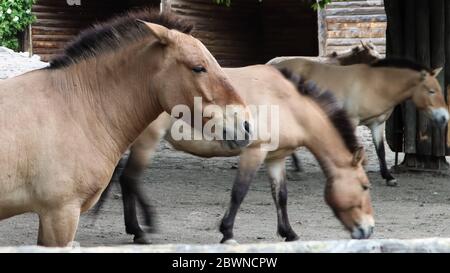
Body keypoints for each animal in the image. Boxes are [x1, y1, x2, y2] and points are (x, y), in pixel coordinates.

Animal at [96, 65, 374, 243]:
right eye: (364, 186)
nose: (368, 230)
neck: (287, 103)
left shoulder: (276, 158)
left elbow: (281, 196)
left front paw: (289, 233)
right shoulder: (254, 152)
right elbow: (239, 192)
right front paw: (227, 232)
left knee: (126, 180)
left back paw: (138, 228)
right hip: (146, 142)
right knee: (130, 179)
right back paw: (142, 229)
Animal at [268, 56, 448, 185]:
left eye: (439, 90)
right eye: (431, 91)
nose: (445, 117)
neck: (377, 84)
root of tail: (274, 67)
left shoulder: (377, 125)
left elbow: (380, 151)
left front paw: (388, 177)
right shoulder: (352, 120)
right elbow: (353, 146)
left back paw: (296, 166)